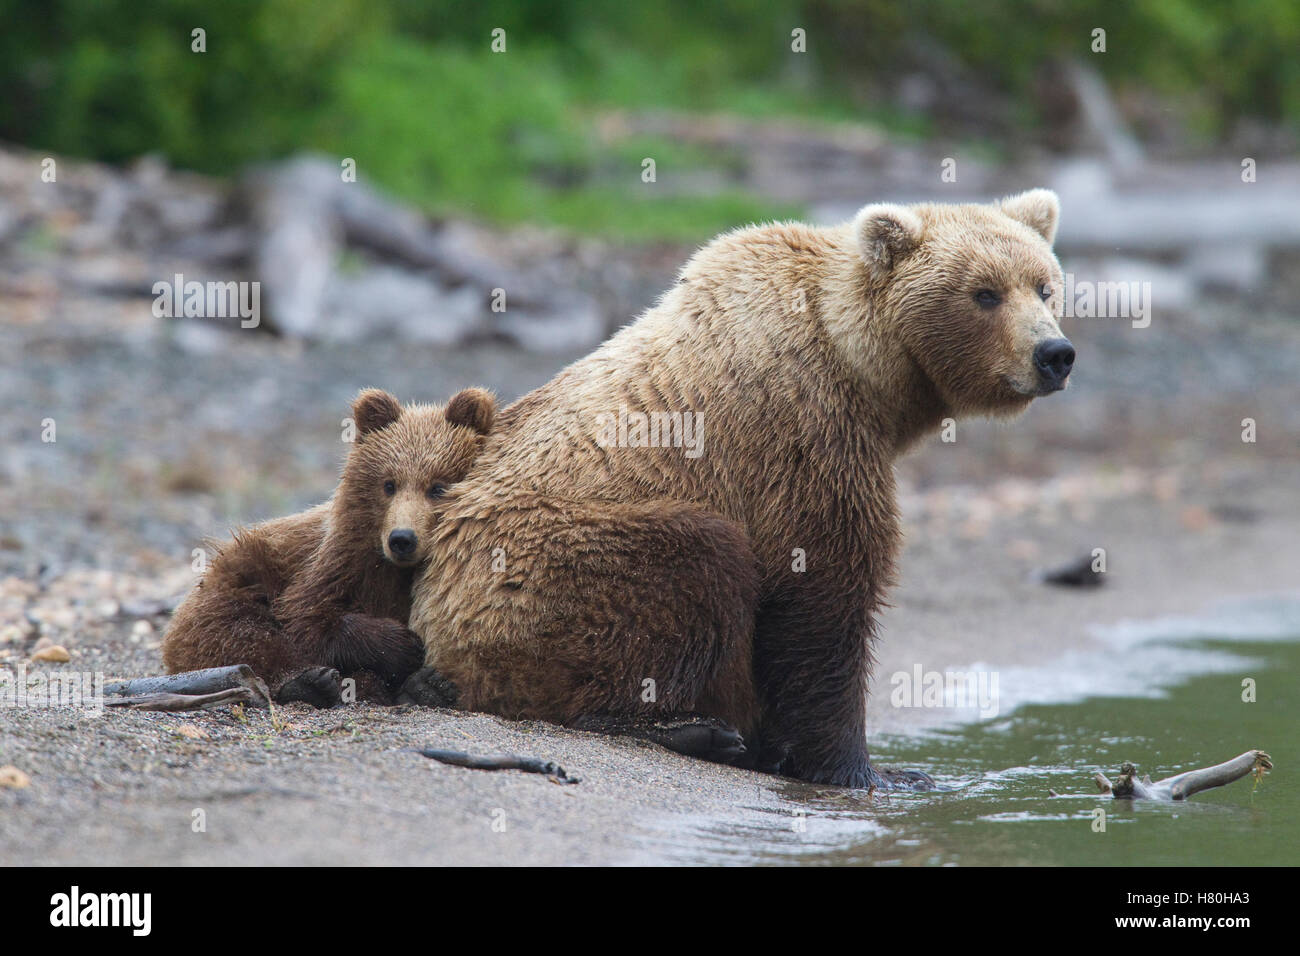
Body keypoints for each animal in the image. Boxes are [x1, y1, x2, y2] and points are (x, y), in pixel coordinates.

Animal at [161, 387, 497, 706]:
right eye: (389, 484)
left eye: (437, 487)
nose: (402, 539)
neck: (397, 571)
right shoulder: (337, 563)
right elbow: (305, 619)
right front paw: (400, 643)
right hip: (236, 573)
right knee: (236, 630)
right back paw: (311, 683)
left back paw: (425, 689)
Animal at [402, 190, 1072, 787]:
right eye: (984, 293)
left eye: (1044, 285)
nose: (1054, 353)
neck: (864, 366)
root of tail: (431, 605)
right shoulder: (804, 428)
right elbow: (822, 587)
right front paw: (871, 771)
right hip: (538, 569)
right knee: (697, 563)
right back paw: (682, 728)